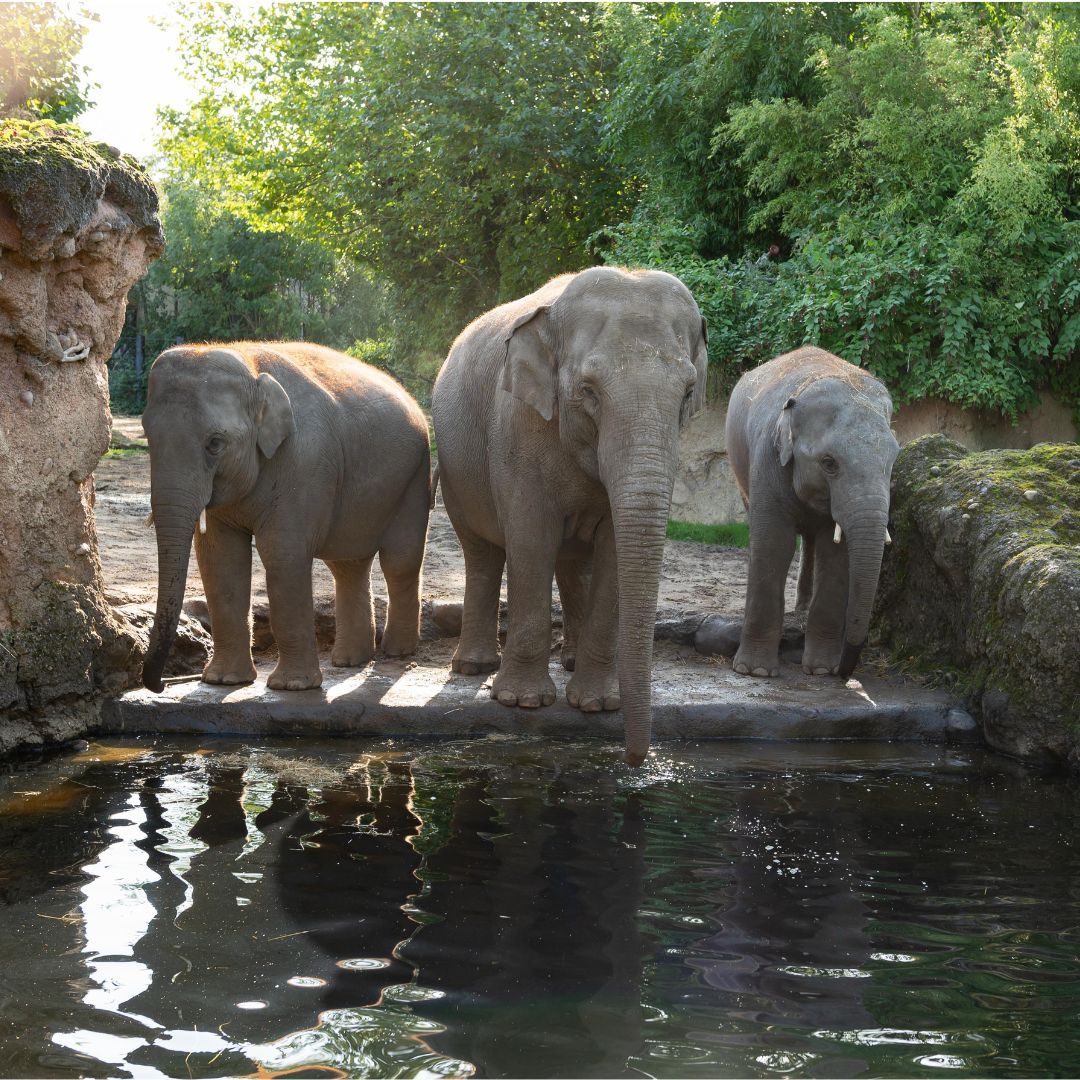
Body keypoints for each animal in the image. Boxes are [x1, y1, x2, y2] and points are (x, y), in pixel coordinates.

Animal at [139, 343, 429, 691]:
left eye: (215, 444)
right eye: (147, 437)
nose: (160, 684)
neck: (250, 368)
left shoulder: (304, 463)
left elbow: (283, 554)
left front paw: (291, 686)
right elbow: (221, 560)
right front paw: (223, 681)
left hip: (414, 479)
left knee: (400, 560)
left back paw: (397, 653)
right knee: (348, 565)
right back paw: (349, 661)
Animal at [429, 264, 708, 764]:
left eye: (689, 392)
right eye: (587, 391)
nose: (637, 760)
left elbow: (614, 548)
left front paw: (598, 705)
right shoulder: (518, 427)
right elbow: (530, 538)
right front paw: (522, 701)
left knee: (573, 560)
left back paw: (571, 661)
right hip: (458, 473)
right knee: (482, 553)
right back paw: (473, 667)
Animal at [725, 349, 902, 678]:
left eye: (893, 459)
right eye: (828, 463)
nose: (844, 674)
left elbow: (836, 554)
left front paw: (820, 670)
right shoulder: (767, 458)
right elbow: (773, 544)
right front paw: (755, 671)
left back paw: (803, 609)